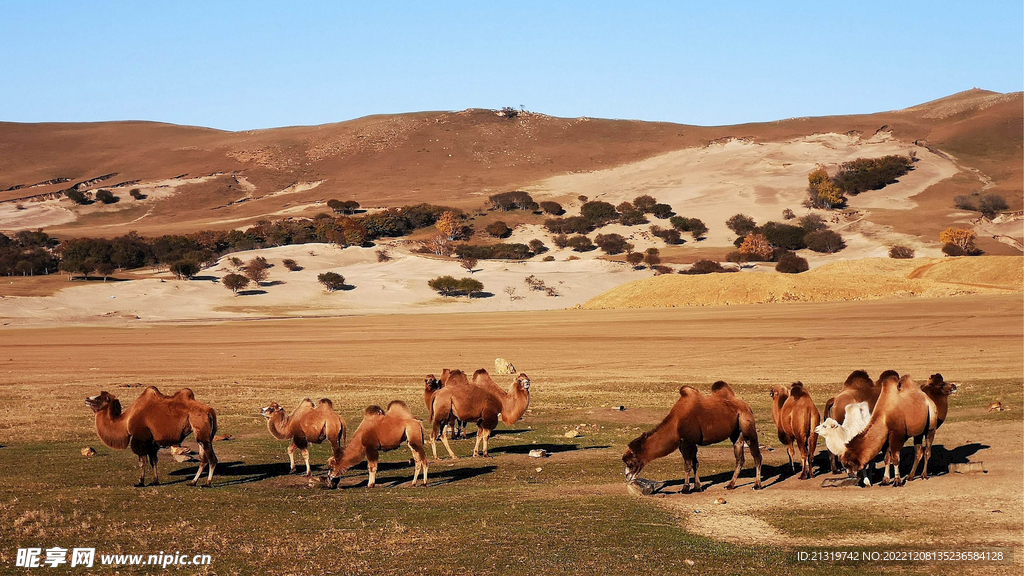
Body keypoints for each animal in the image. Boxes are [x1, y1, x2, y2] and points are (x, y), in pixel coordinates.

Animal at [84, 385, 219, 483]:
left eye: (97, 398)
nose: (86, 399)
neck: (125, 421)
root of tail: (209, 411)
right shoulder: (152, 442)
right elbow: (153, 460)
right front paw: (155, 481)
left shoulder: (140, 439)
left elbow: (142, 461)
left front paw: (140, 482)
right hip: (201, 435)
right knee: (203, 459)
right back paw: (193, 482)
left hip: (202, 433)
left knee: (212, 459)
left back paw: (207, 483)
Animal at [622, 381, 761, 487]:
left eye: (629, 462)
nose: (627, 476)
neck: (675, 424)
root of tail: (746, 406)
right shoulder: (686, 442)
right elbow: (695, 464)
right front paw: (697, 487)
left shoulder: (688, 441)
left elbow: (688, 465)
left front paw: (685, 488)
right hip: (736, 434)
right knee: (739, 458)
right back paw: (730, 485)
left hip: (747, 425)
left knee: (756, 455)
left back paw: (757, 485)